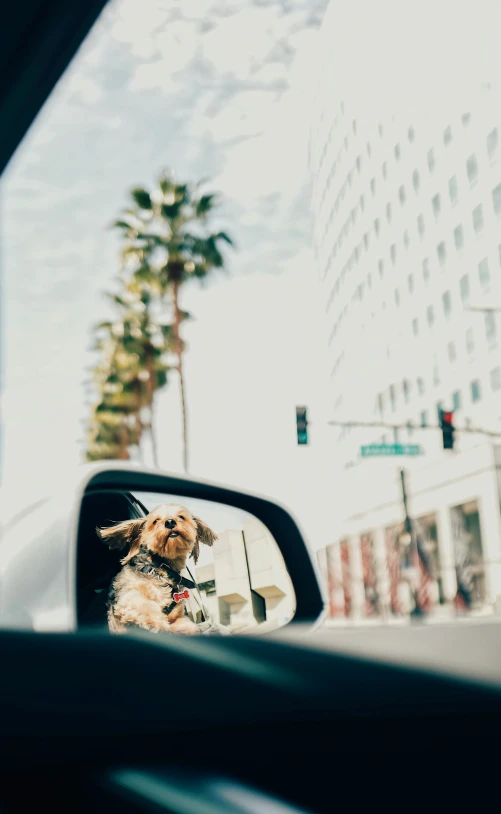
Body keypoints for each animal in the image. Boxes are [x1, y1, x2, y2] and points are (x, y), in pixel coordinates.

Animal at [96, 504, 216, 636]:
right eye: (155, 521)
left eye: (181, 517)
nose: (170, 522)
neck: (160, 568)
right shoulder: (128, 598)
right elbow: (149, 610)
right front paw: (161, 627)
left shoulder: (177, 616)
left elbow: (188, 626)